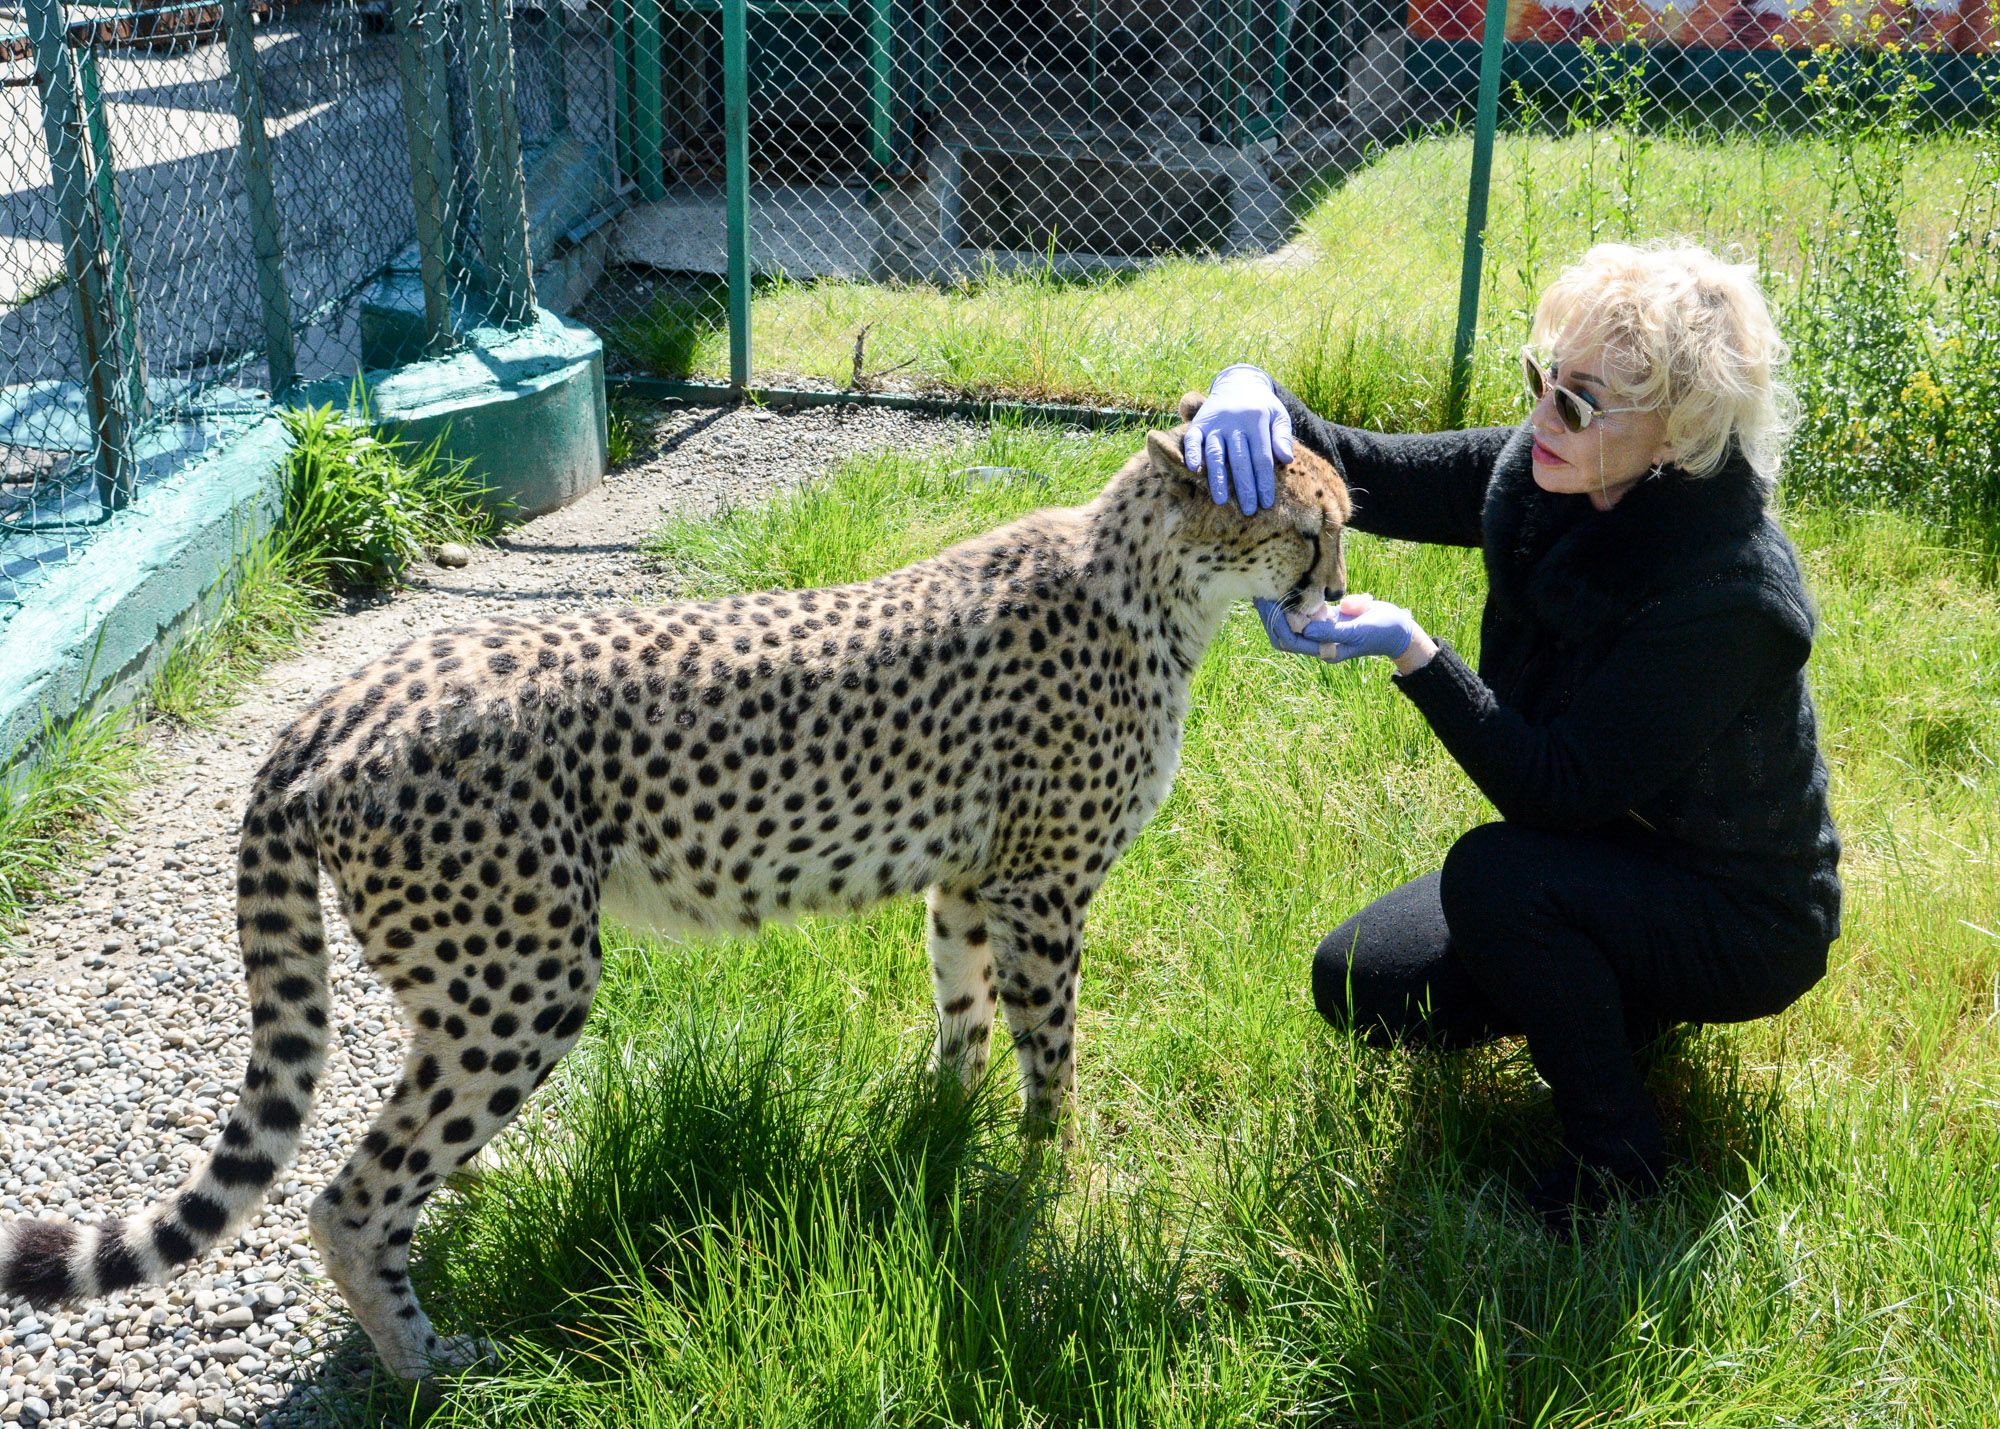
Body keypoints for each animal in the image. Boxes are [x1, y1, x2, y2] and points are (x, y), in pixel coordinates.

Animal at [0, 406, 1352, 1376]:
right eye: (1305, 530)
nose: (1334, 595)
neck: (1148, 588)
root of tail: (340, 700)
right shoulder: (1043, 889)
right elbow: (1050, 1052)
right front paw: (1047, 1175)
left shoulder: (974, 882)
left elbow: (962, 1020)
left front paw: (945, 1136)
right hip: (526, 982)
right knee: (348, 1195)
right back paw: (430, 1362)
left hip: (469, 984)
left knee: (398, 1141)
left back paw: (462, 1225)